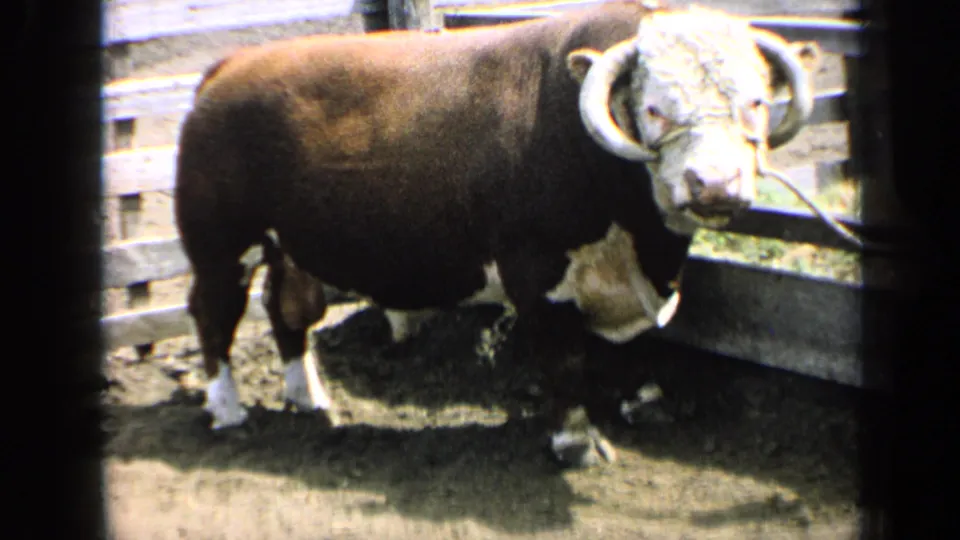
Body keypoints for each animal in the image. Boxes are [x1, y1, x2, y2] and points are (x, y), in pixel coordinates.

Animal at [174, 0, 820, 468]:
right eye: (655, 109)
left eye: (756, 101)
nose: (715, 184)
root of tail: (228, 68)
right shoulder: (536, 274)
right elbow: (563, 360)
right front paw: (576, 444)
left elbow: (638, 346)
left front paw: (645, 406)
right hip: (219, 245)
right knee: (213, 315)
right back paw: (228, 411)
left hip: (286, 246)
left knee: (286, 309)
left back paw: (307, 396)